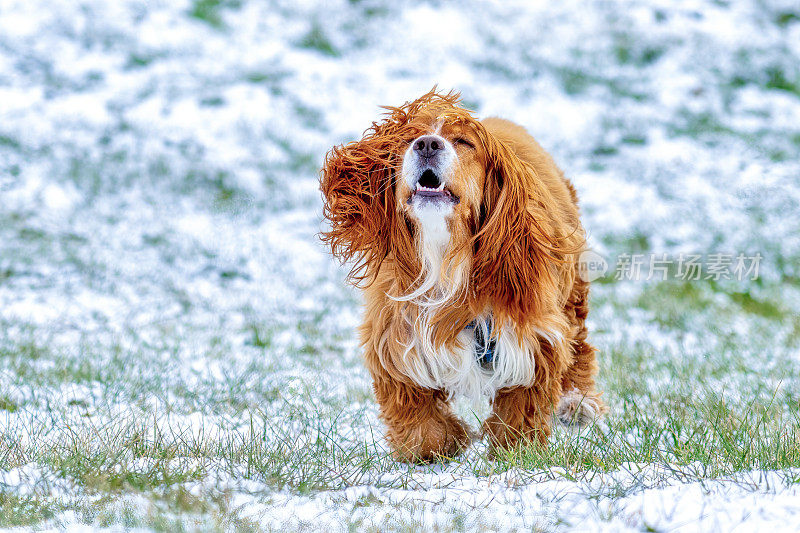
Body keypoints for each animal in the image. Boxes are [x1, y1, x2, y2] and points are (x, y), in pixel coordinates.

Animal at [318, 88, 600, 462]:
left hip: (571, 293)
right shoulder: (395, 335)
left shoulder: (532, 335)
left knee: (580, 344)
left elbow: (521, 405)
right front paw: (440, 446)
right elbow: (417, 415)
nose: (427, 144)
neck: (445, 256)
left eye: (464, 142)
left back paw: (579, 403)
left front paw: (515, 451)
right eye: (408, 138)